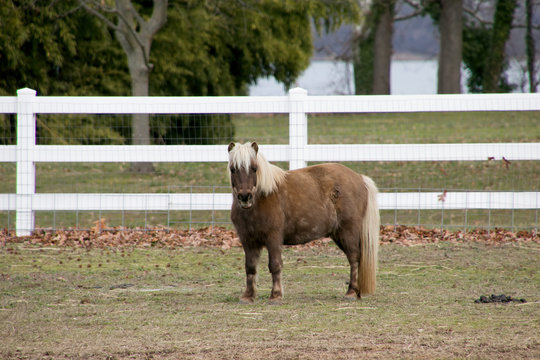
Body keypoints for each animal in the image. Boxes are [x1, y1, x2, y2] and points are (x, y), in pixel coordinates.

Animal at [229, 142, 380, 302]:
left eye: (254, 168)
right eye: (233, 169)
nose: (245, 197)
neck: (262, 198)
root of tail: (359, 178)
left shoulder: (273, 238)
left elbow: (275, 265)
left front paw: (276, 295)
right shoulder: (248, 241)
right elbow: (250, 267)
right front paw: (248, 296)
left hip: (348, 232)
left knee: (354, 258)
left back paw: (350, 292)